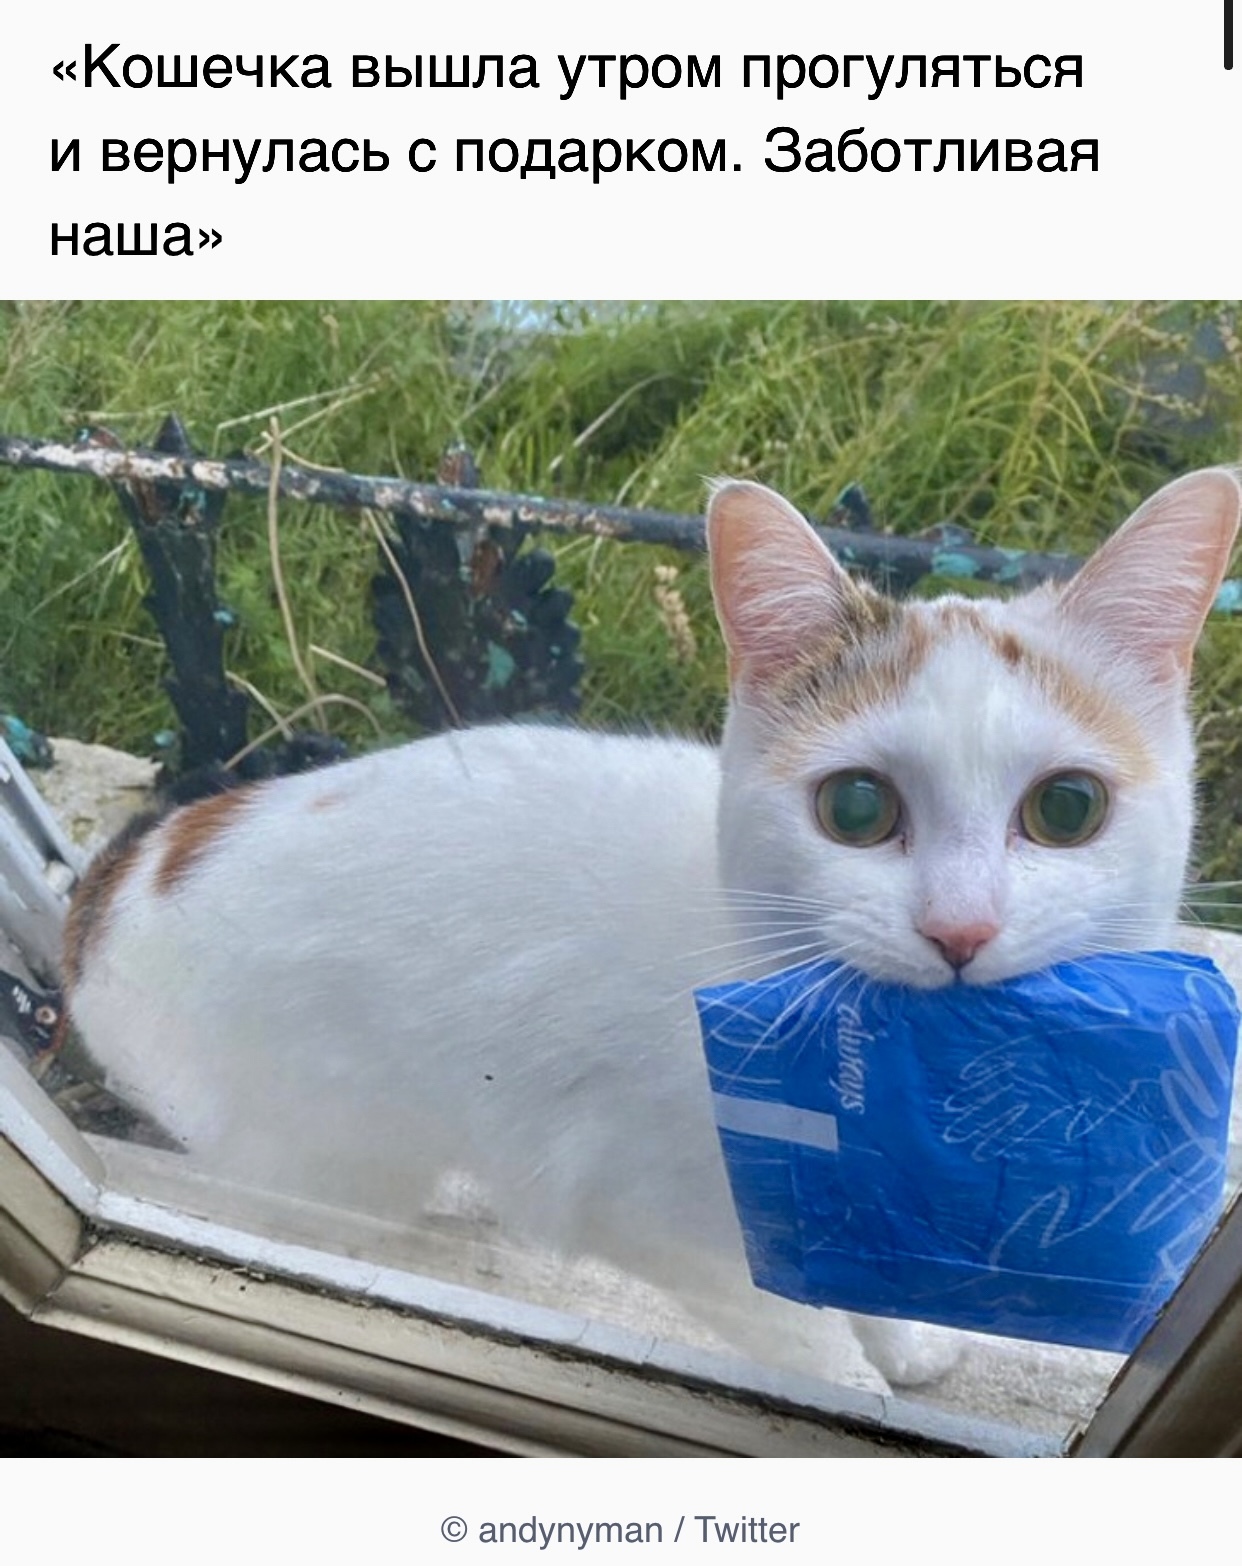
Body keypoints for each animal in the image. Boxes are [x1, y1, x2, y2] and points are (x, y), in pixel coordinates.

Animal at [61, 468, 1241, 1389]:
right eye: (856, 809)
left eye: (1067, 809)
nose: (962, 927)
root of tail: (123, 874)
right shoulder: (639, 1208)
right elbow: (803, 1339)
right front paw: (858, 1381)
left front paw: (904, 1341)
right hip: (322, 1146)